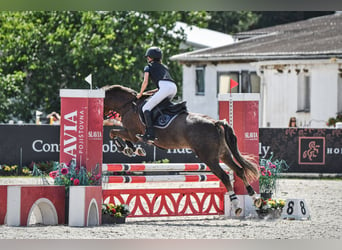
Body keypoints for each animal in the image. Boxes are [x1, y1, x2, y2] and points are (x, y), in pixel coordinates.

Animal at [103, 84, 260, 215]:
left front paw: (126, 149)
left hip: (209, 158)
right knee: (239, 171)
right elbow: (119, 136)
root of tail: (214, 122)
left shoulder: (131, 133)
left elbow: (113, 133)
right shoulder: (131, 134)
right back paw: (255, 198)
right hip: (224, 155)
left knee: (225, 176)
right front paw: (131, 150)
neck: (129, 105)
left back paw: (237, 205)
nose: (104, 117)